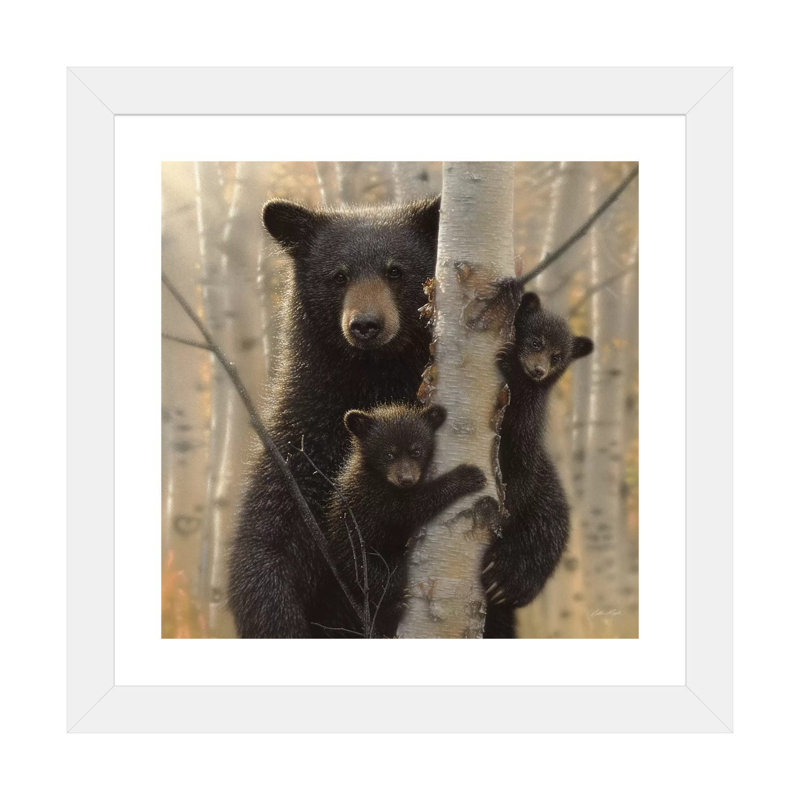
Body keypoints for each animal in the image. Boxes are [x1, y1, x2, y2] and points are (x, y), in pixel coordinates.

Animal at [228, 196, 441, 638]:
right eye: (338, 276)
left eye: (396, 270)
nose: (366, 325)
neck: (373, 381)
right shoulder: (302, 444)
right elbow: (265, 544)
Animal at [314, 403, 487, 638]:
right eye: (389, 454)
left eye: (416, 451)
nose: (405, 479)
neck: (378, 476)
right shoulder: (375, 498)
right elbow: (411, 508)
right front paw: (467, 476)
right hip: (359, 559)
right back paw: (394, 604)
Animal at [482, 292, 594, 638]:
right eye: (535, 341)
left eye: (558, 356)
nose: (539, 370)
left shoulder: (526, 432)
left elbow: (520, 473)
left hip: (549, 510)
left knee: (542, 539)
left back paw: (505, 580)